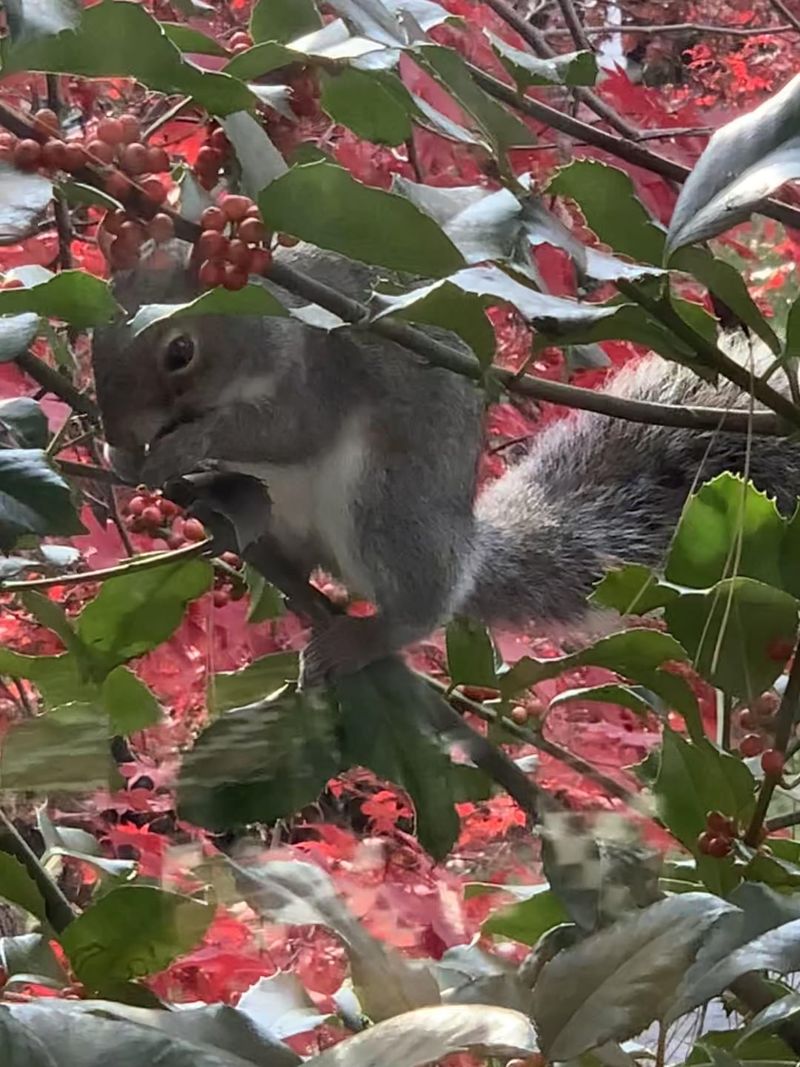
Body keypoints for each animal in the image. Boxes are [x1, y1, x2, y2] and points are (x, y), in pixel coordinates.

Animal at [89, 242, 800, 682]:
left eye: (180, 352)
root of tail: (466, 549)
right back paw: (229, 516)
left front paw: (178, 447)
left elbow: (283, 432)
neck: (261, 327)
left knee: (421, 602)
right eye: (92, 341)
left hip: (384, 505)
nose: (120, 430)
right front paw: (120, 454)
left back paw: (367, 636)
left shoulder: (318, 374)